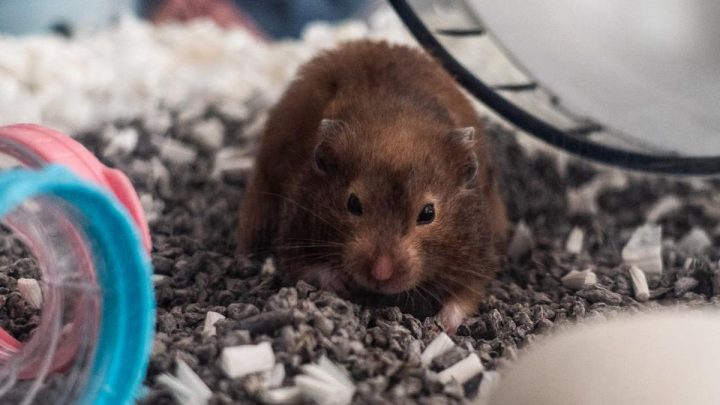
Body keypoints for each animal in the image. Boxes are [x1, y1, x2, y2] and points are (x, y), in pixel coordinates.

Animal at [238, 40, 507, 333]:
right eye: (353, 203)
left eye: (428, 213)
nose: (381, 274)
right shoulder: (295, 229)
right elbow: (306, 267)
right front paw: (342, 284)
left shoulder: (478, 254)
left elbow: (466, 295)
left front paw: (442, 325)